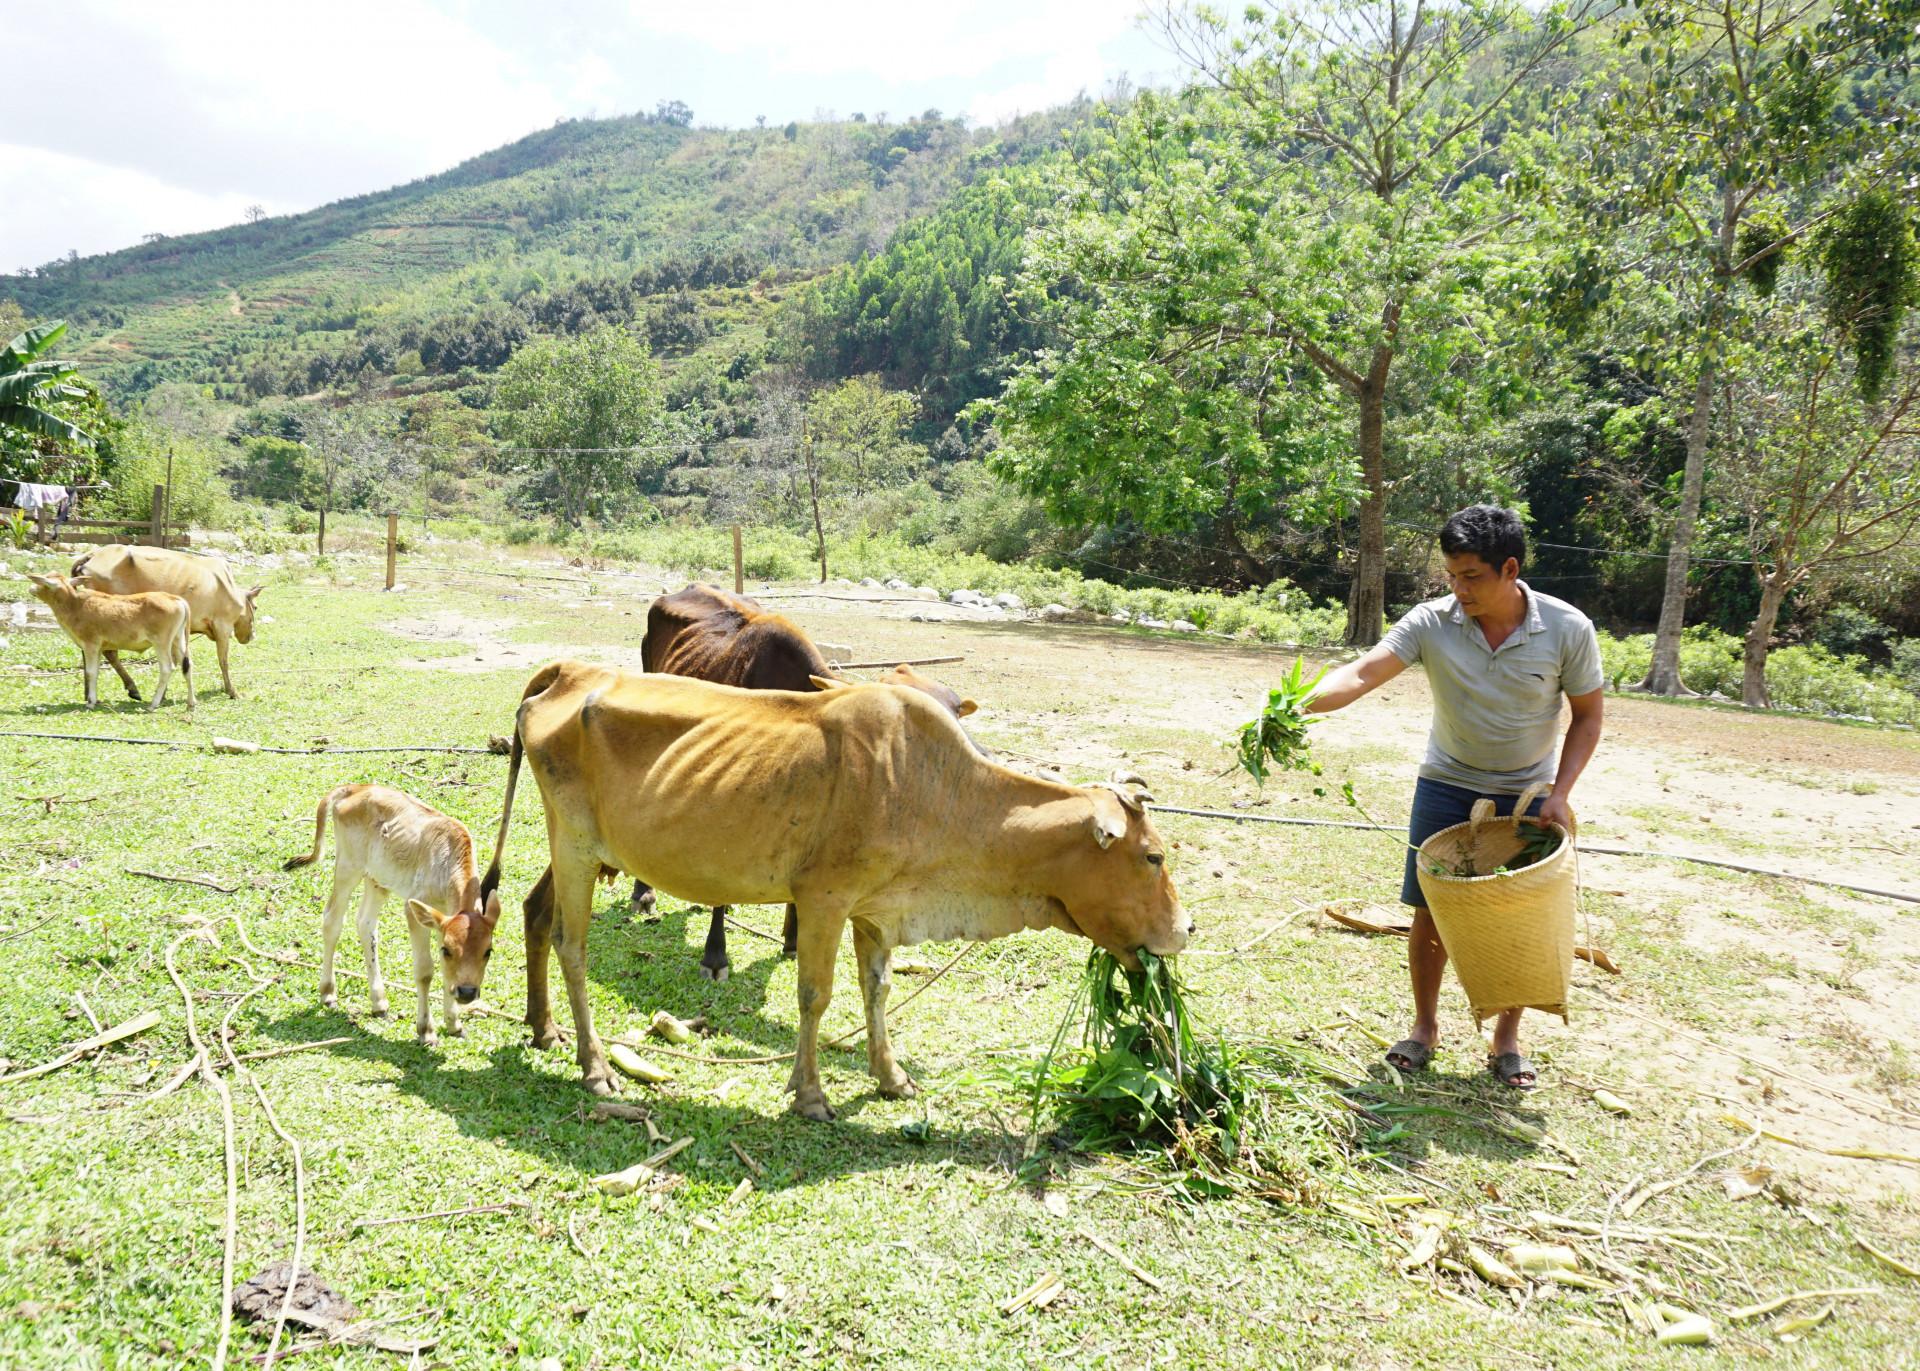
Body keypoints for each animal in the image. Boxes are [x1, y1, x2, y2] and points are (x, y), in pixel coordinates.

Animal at [26, 572, 193, 714]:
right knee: (187, 666)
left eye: (45, 582)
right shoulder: (100, 648)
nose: (31, 588)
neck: (74, 605)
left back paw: (153, 704)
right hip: (178, 640)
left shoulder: (91, 645)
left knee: (167, 668)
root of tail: (176, 599)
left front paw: (90, 702)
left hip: (161, 643)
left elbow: (91, 672)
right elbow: (96, 671)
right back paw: (191, 703)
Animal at [72, 541, 263, 698]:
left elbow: (175, 660)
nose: (252, 635)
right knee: (109, 652)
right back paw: (131, 688)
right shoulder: (223, 627)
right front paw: (232, 691)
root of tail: (93, 554)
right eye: (255, 607)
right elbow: (223, 661)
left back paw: (89, 693)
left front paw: (163, 694)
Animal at [280, 783, 503, 1044]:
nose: (467, 992)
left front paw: (454, 1024)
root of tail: (355, 787)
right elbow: (425, 971)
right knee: (332, 919)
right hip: (348, 866)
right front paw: (426, 1030)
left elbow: (446, 972)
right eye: (448, 950)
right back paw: (328, 992)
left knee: (365, 924)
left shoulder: (442, 918)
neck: (447, 861)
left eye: (488, 951)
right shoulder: (413, 910)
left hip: (377, 880)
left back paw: (379, 1002)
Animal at [480, 656, 1182, 1113]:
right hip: (574, 846)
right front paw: (810, 1093)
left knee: (534, 913)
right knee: (572, 944)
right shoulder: (824, 899)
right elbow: (815, 995)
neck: (938, 788)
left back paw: (543, 1029)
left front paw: (891, 1077)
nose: (1185, 929)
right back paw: (595, 1067)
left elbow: (876, 990)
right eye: (1152, 856)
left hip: (579, 848)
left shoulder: (876, 910)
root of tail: (570, 672)